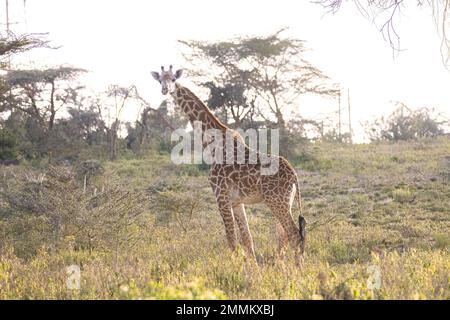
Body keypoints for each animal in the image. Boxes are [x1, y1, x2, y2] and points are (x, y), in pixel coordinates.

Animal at [151, 65, 306, 262]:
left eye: (172, 79)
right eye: (159, 80)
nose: (165, 90)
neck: (211, 142)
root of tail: (294, 176)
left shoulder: (221, 196)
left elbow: (231, 240)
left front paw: (233, 268)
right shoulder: (236, 202)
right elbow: (247, 240)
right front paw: (252, 268)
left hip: (276, 201)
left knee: (293, 234)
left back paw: (296, 269)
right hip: (286, 201)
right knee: (285, 236)